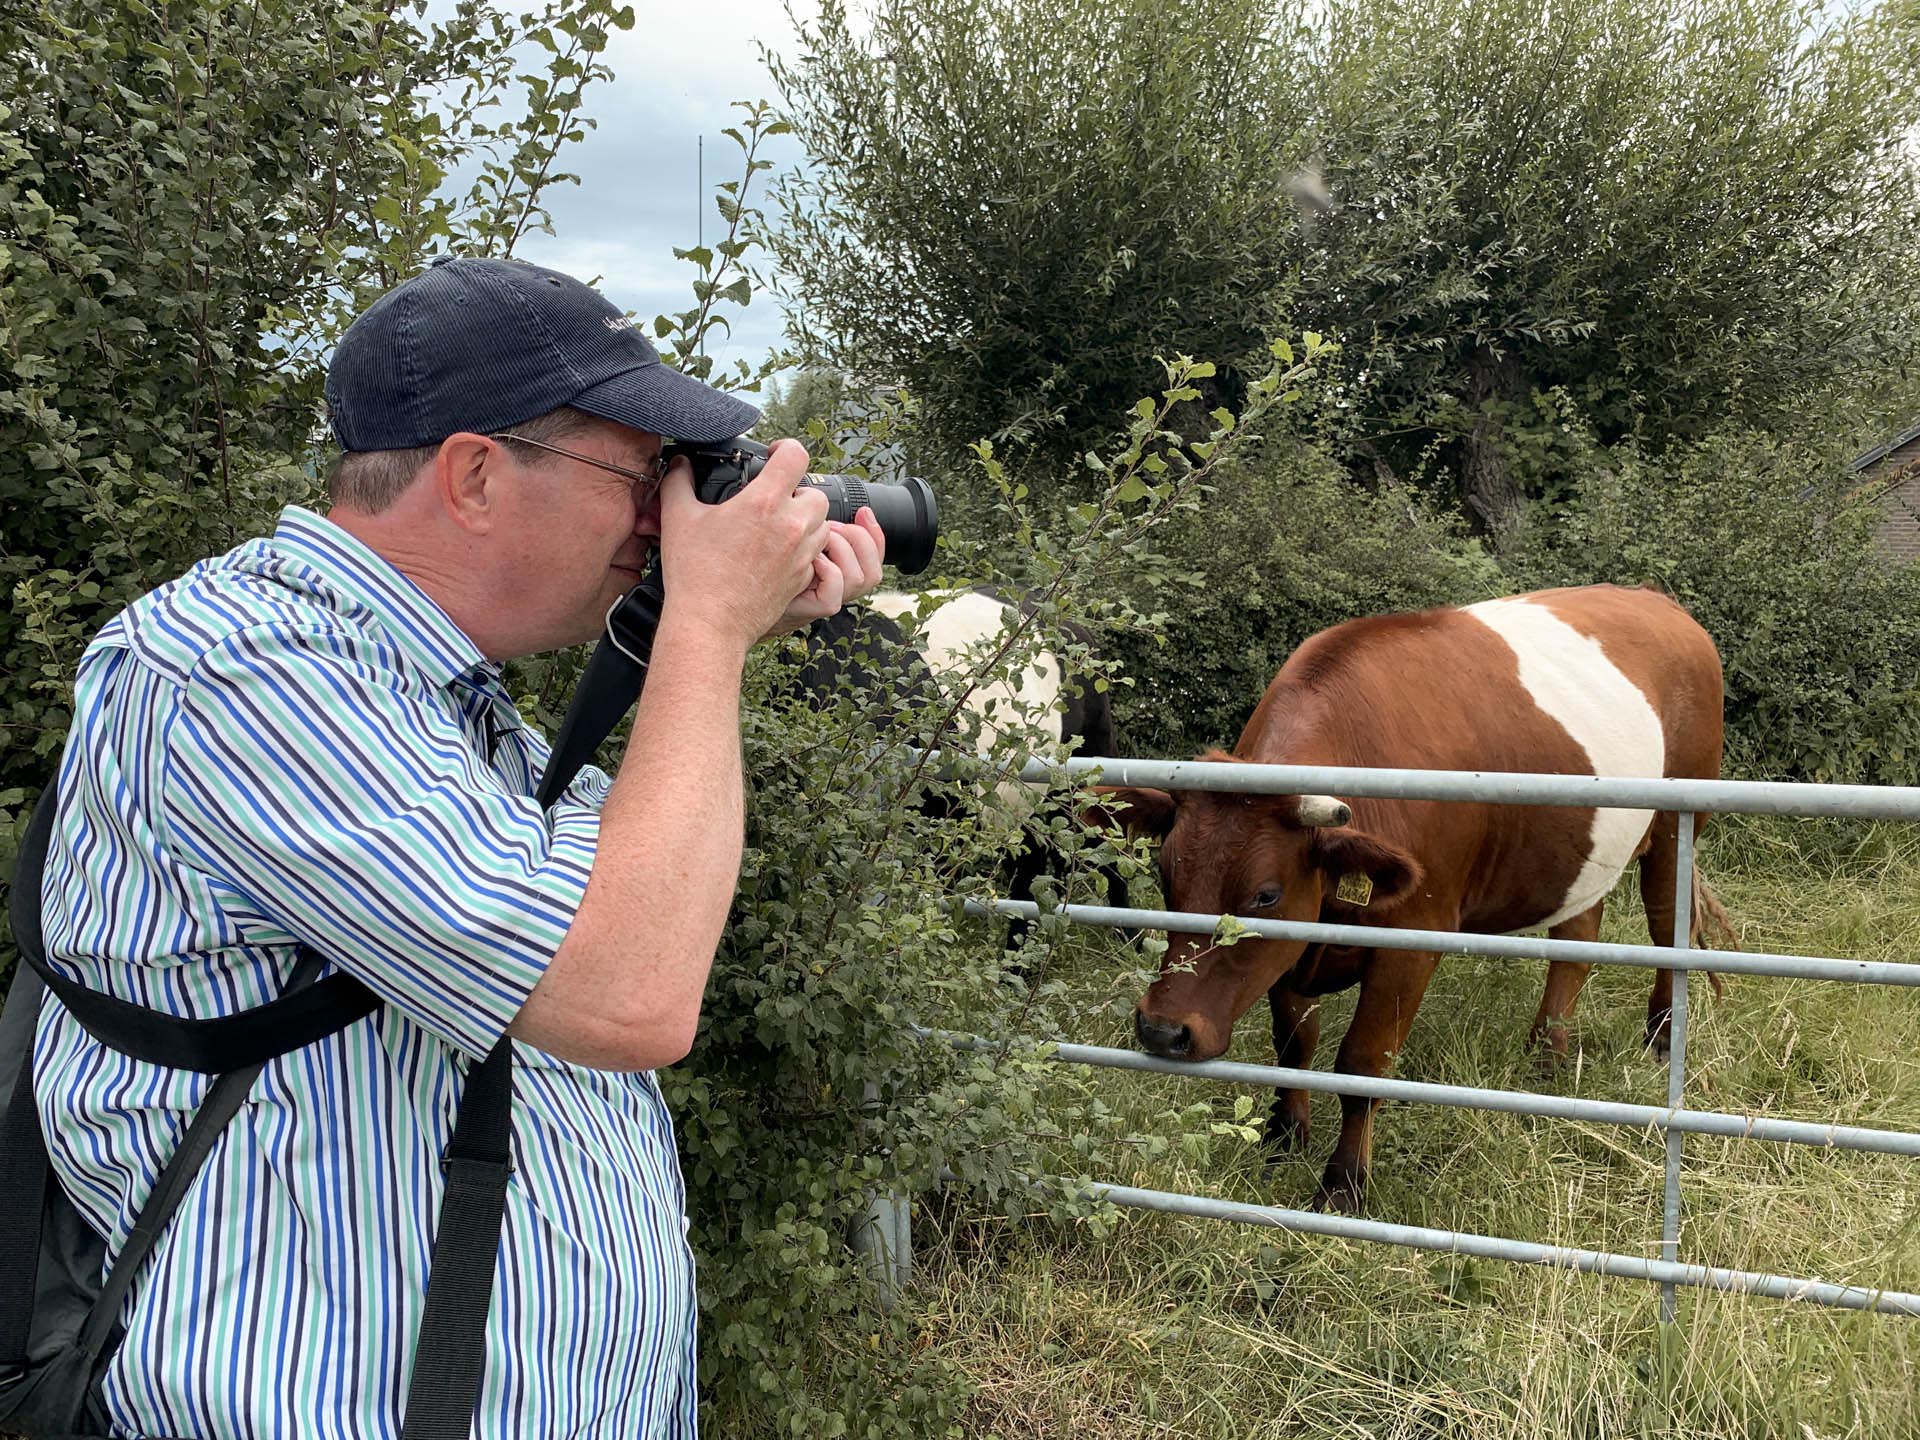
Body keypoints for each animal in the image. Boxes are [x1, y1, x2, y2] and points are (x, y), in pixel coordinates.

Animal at [1098, 579, 1743, 1213]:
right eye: (1166, 873)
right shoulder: (1292, 951)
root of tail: (1657, 600)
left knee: (1667, 930)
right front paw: (1284, 1140)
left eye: (1264, 895)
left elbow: (1362, 1066)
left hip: (1676, 831)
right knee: (1577, 939)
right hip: (1584, 855)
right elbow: (1295, 1045)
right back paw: (1547, 1054)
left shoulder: (1411, 940)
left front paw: (1343, 1187)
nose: (1163, 1030)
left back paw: (1660, 1038)